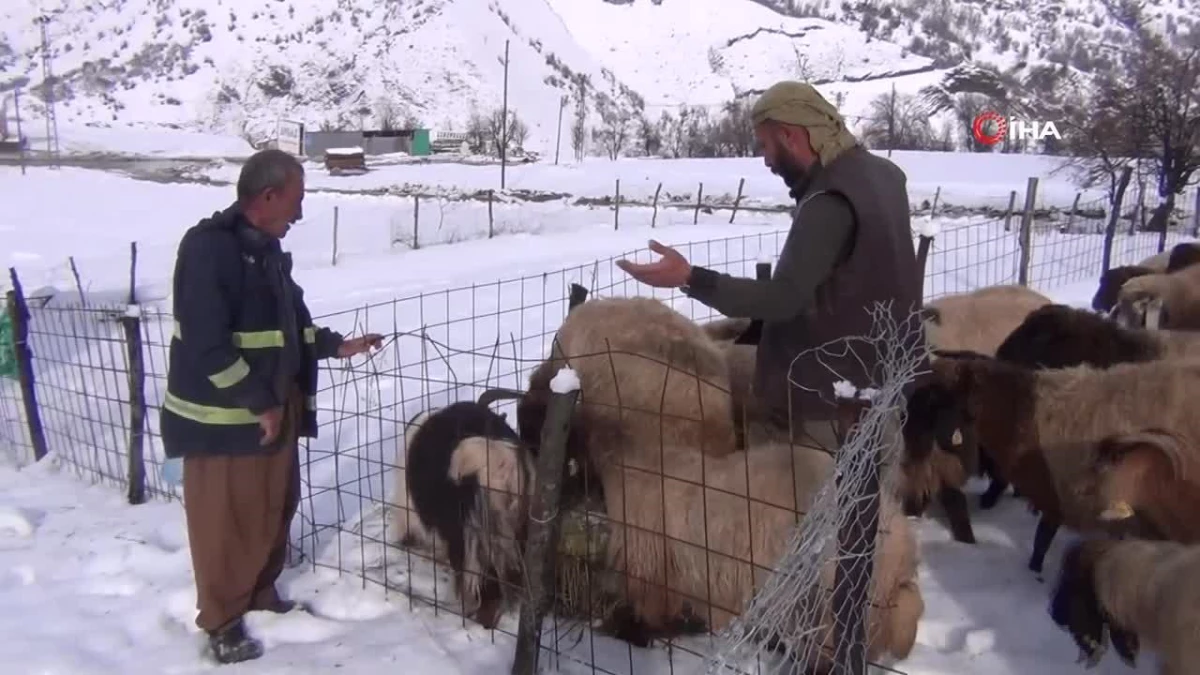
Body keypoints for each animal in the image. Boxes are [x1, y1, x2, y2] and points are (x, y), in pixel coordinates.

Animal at [902, 353, 1200, 571]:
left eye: (937, 402)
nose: (910, 454)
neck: (1021, 414)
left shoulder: (1059, 493)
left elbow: (1041, 541)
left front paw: (1034, 575)